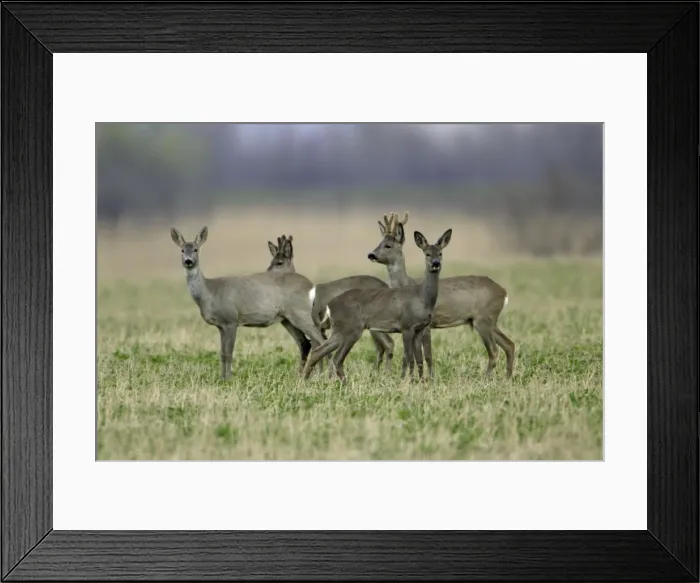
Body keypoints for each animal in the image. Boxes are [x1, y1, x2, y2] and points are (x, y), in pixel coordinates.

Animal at [170, 226, 326, 380]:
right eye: (182, 250)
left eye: (196, 249)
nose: (188, 261)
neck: (209, 292)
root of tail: (311, 286)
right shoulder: (220, 326)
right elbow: (222, 353)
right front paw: (222, 378)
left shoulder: (231, 320)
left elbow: (229, 353)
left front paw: (228, 379)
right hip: (287, 319)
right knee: (306, 343)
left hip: (301, 313)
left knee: (320, 340)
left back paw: (322, 376)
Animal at [265, 233, 395, 372]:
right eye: (271, 261)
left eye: (279, 263)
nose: (266, 274)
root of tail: (387, 286)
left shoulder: (315, 324)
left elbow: (317, 347)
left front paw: (319, 374)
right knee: (381, 346)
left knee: (387, 344)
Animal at [302, 228, 453, 382]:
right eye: (427, 253)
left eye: (440, 253)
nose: (435, 263)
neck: (422, 298)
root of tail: (330, 306)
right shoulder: (406, 326)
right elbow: (410, 358)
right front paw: (409, 381)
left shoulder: (420, 329)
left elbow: (419, 359)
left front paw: (421, 382)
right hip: (352, 329)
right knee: (337, 358)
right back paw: (343, 382)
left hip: (339, 330)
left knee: (318, 351)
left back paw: (305, 380)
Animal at [368, 212, 515, 379]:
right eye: (379, 242)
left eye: (388, 245)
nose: (371, 254)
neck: (407, 284)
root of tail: (503, 292)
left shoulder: (427, 325)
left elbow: (425, 354)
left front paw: (426, 378)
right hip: (488, 320)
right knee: (509, 344)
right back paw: (507, 378)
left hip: (483, 319)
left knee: (495, 350)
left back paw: (487, 378)